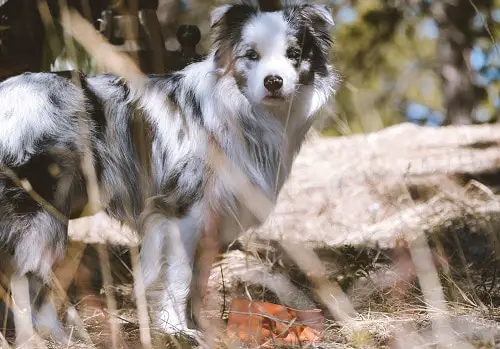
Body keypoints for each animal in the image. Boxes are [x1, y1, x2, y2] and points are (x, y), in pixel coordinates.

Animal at [0, 0, 336, 342]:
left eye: (294, 53)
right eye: (251, 55)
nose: (273, 82)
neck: (242, 111)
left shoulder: (210, 219)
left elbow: (199, 280)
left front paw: (201, 327)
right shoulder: (180, 212)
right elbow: (179, 276)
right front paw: (177, 329)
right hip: (40, 215)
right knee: (28, 277)